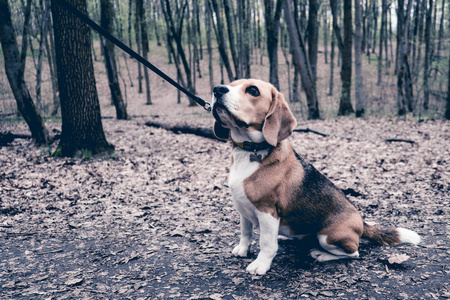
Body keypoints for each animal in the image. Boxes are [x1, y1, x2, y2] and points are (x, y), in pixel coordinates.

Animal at [213, 79, 420, 274]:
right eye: (231, 84)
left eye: (253, 90)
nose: (217, 89)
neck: (251, 151)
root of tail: (362, 222)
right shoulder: (243, 210)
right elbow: (245, 232)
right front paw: (243, 250)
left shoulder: (267, 211)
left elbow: (266, 243)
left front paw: (261, 264)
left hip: (329, 237)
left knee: (354, 253)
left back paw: (321, 254)